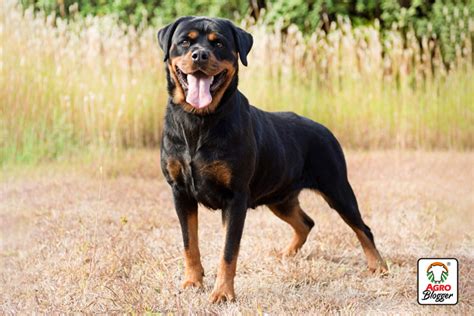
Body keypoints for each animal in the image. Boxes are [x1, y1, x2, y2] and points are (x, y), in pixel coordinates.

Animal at [157, 16, 386, 302]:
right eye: (184, 42)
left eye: (218, 43)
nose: (199, 55)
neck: (198, 121)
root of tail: (325, 129)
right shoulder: (180, 192)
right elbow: (189, 243)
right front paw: (192, 282)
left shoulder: (235, 198)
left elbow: (228, 251)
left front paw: (223, 293)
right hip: (281, 198)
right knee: (306, 223)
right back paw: (286, 254)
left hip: (337, 188)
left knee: (362, 228)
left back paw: (379, 266)